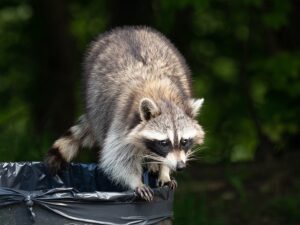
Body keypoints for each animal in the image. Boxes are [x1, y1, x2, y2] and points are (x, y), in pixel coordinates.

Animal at [45, 26, 204, 200]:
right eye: (164, 143)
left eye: (184, 141)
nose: (180, 166)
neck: (161, 96)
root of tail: (129, 29)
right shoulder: (123, 120)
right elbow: (118, 157)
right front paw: (136, 181)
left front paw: (164, 170)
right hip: (94, 100)